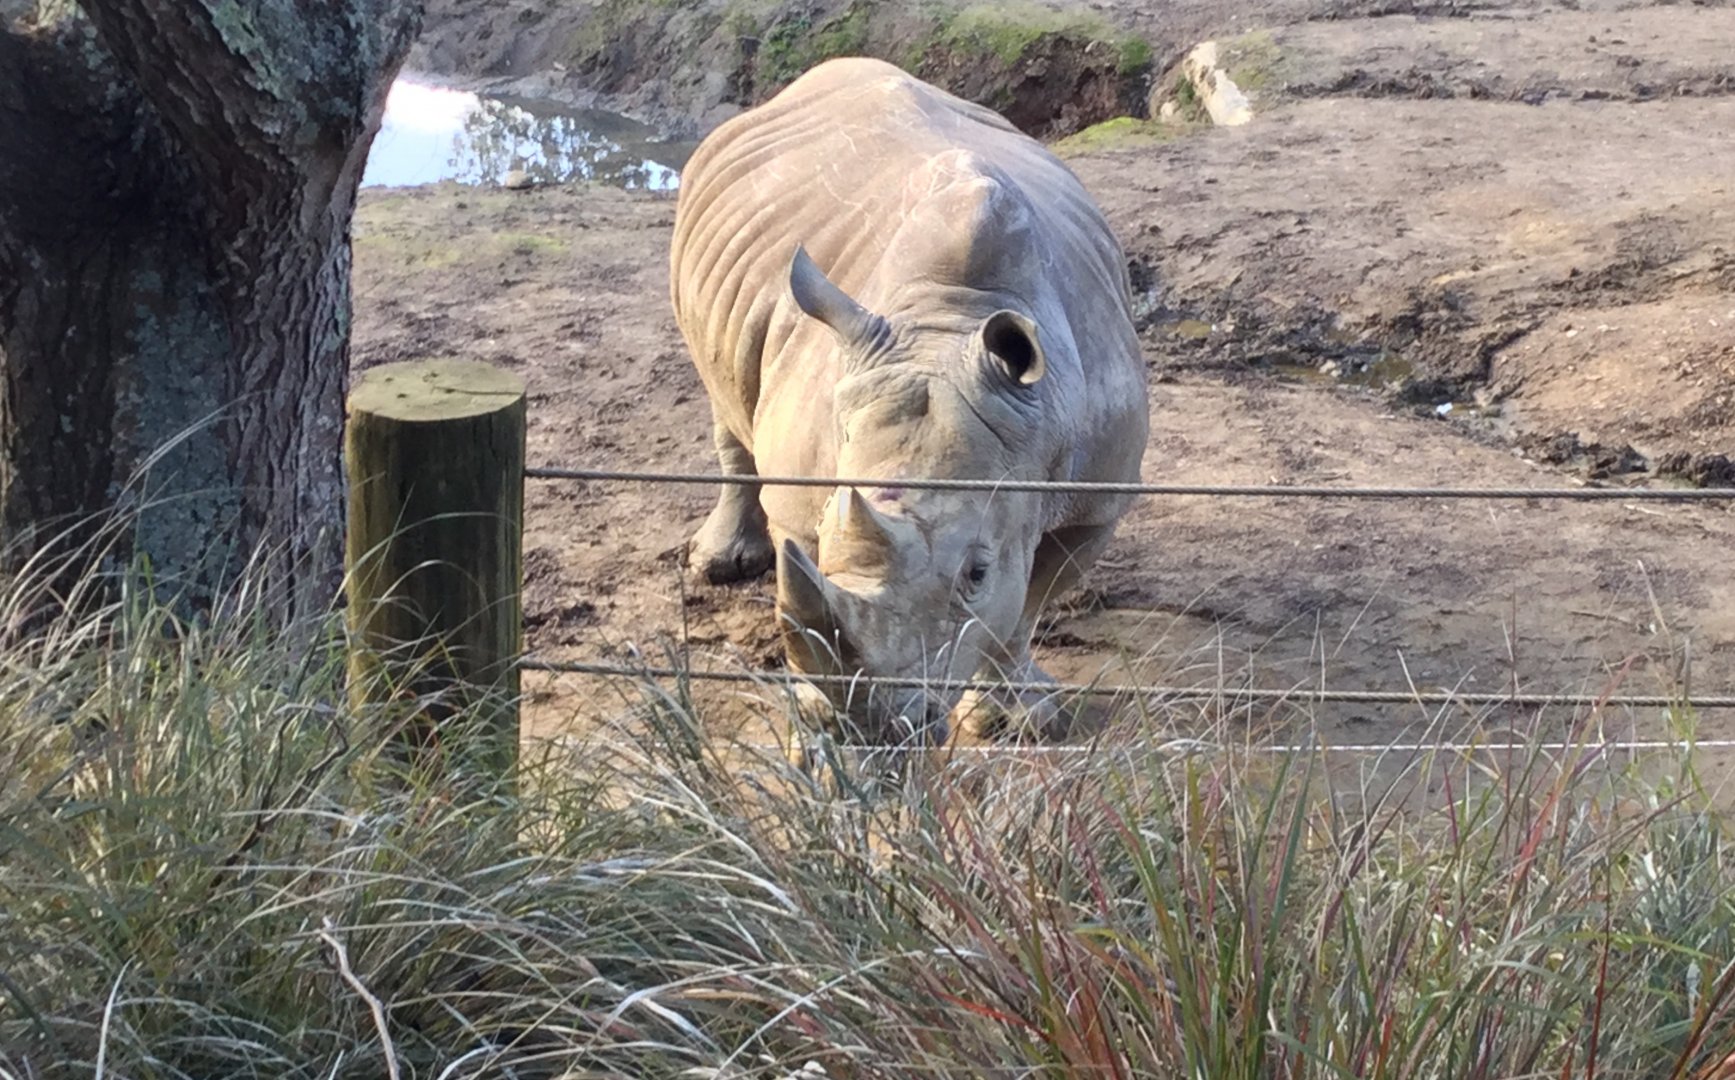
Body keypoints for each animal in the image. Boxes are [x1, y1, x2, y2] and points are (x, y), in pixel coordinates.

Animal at [669, 57, 1149, 744]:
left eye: (976, 573)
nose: (867, 728)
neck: (949, 323)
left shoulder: (1096, 500)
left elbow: (1027, 604)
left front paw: (1022, 720)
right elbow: (805, 574)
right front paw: (813, 714)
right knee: (722, 396)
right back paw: (720, 563)